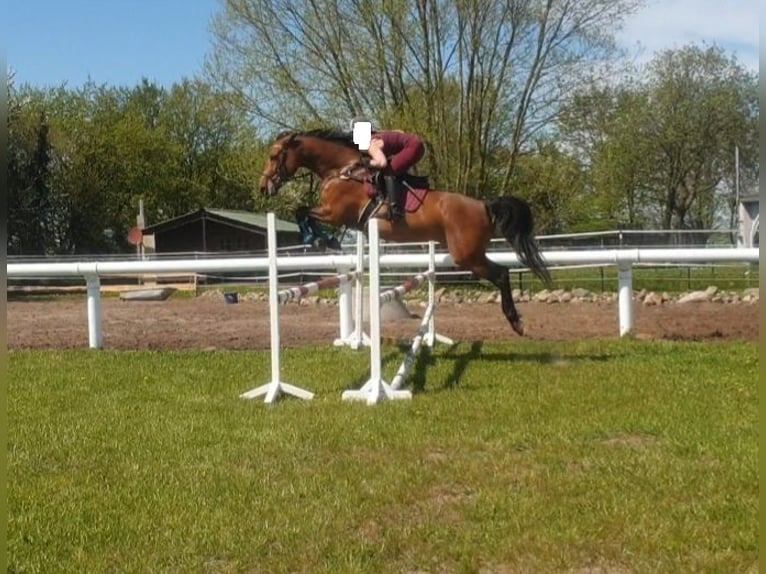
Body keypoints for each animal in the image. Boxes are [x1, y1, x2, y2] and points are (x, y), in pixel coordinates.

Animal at [260, 129, 552, 338]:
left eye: (274, 156)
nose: (264, 188)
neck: (340, 171)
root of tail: (485, 205)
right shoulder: (336, 215)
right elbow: (302, 212)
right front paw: (324, 239)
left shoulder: (334, 213)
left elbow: (301, 211)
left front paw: (320, 239)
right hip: (470, 254)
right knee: (502, 273)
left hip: (467, 256)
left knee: (502, 273)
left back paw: (516, 322)